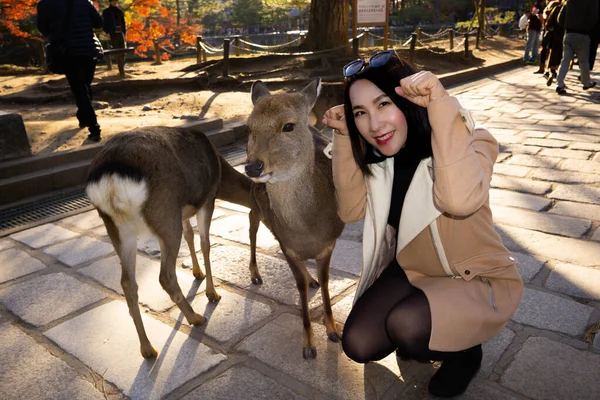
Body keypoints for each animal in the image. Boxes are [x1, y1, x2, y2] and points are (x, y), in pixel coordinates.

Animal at [86, 126, 260, 360]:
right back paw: (196, 318)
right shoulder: (207, 198)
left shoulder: (183, 212)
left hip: (118, 230)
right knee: (165, 275)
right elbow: (205, 243)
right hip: (165, 216)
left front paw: (197, 273)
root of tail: (111, 176)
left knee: (127, 282)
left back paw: (147, 349)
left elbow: (190, 235)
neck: (221, 173)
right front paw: (212, 294)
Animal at [245, 79, 346, 360]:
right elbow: (298, 287)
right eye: (249, 127)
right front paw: (308, 345)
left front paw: (334, 330)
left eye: (288, 125)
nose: (252, 166)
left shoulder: (329, 244)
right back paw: (255, 274)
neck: (307, 229)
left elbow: (325, 282)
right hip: (255, 201)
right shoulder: (287, 245)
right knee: (252, 223)